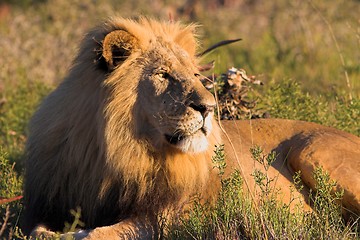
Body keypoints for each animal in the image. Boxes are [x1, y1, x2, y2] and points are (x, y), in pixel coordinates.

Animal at [23, 16, 360, 238]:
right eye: (163, 74)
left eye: (196, 75)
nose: (208, 108)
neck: (118, 151)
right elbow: (40, 230)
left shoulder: (166, 217)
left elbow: (98, 234)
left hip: (316, 153)